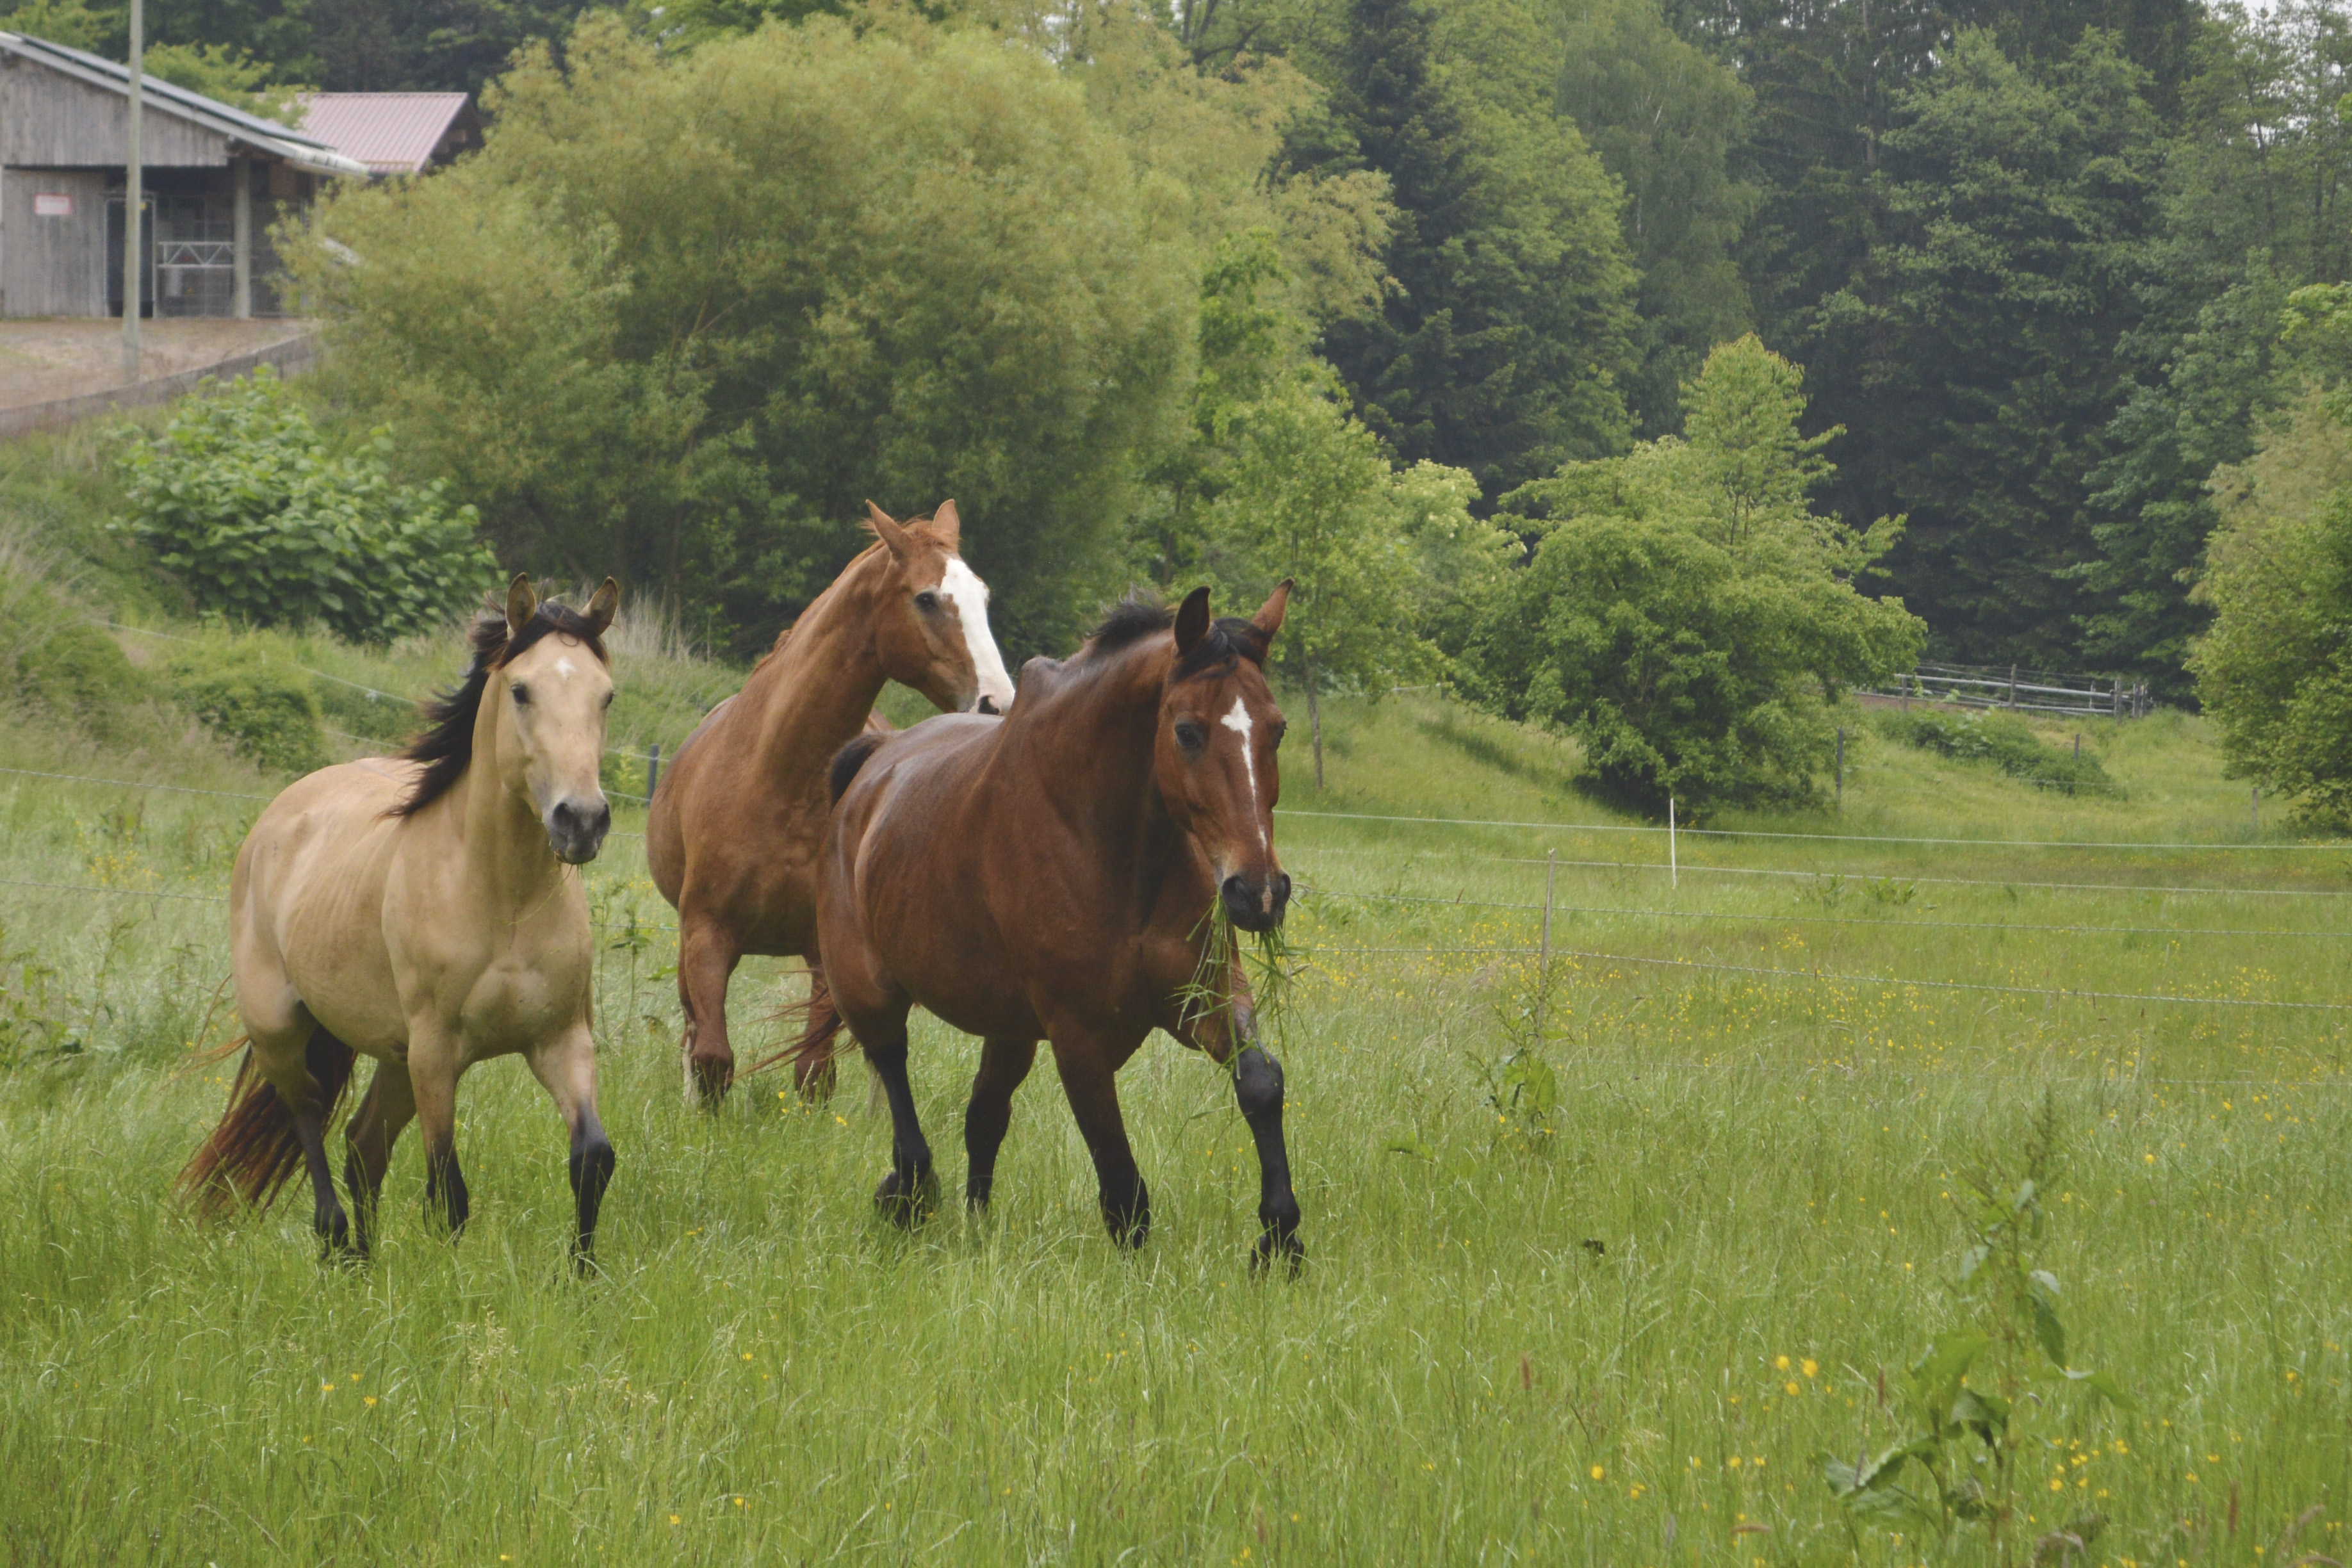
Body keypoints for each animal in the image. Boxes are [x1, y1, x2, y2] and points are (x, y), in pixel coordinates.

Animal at [182, 576, 622, 1268]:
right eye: (522, 690)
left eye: (605, 696)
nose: (580, 821)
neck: (502, 899)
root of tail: (280, 814)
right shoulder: (437, 1054)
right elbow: (448, 1191)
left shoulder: (561, 1039)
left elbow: (592, 1159)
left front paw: (581, 1280)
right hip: (283, 1032)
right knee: (310, 1120)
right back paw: (337, 1244)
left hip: (394, 1055)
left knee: (363, 1145)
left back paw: (365, 1265)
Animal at [647, 502, 1014, 1105]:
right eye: (926, 598)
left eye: (983, 597)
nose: (997, 703)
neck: (778, 780)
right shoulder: (705, 934)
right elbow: (712, 1058)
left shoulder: (825, 950)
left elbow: (814, 1071)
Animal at [796, 583, 1305, 1270]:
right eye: (1187, 732)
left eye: (1277, 729)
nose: (1258, 893)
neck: (1108, 844)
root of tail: (871, 767)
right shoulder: (1078, 1036)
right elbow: (1122, 1186)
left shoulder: (1208, 998)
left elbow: (1260, 1084)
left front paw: (1279, 1238)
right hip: (868, 990)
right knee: (895, 1073)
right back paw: (909, 1194)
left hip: (1008, 1029)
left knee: (983, 1117)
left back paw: (975, 1228)